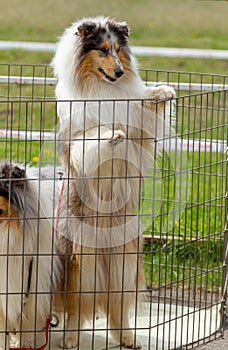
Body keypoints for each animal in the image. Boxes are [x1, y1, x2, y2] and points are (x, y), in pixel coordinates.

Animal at [52, 15, 176, 348]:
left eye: (119, 51)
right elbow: (94, 139)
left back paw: (127, 337)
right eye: (103, 50)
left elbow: (146, 111)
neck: (103, 88)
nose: (119, 72)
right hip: (82, 263)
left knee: (116, 305)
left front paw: (164, 91)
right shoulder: (79, 138)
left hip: (124, 261)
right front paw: (111, 134)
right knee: (76, 307)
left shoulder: (138, 130)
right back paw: (70, 338)